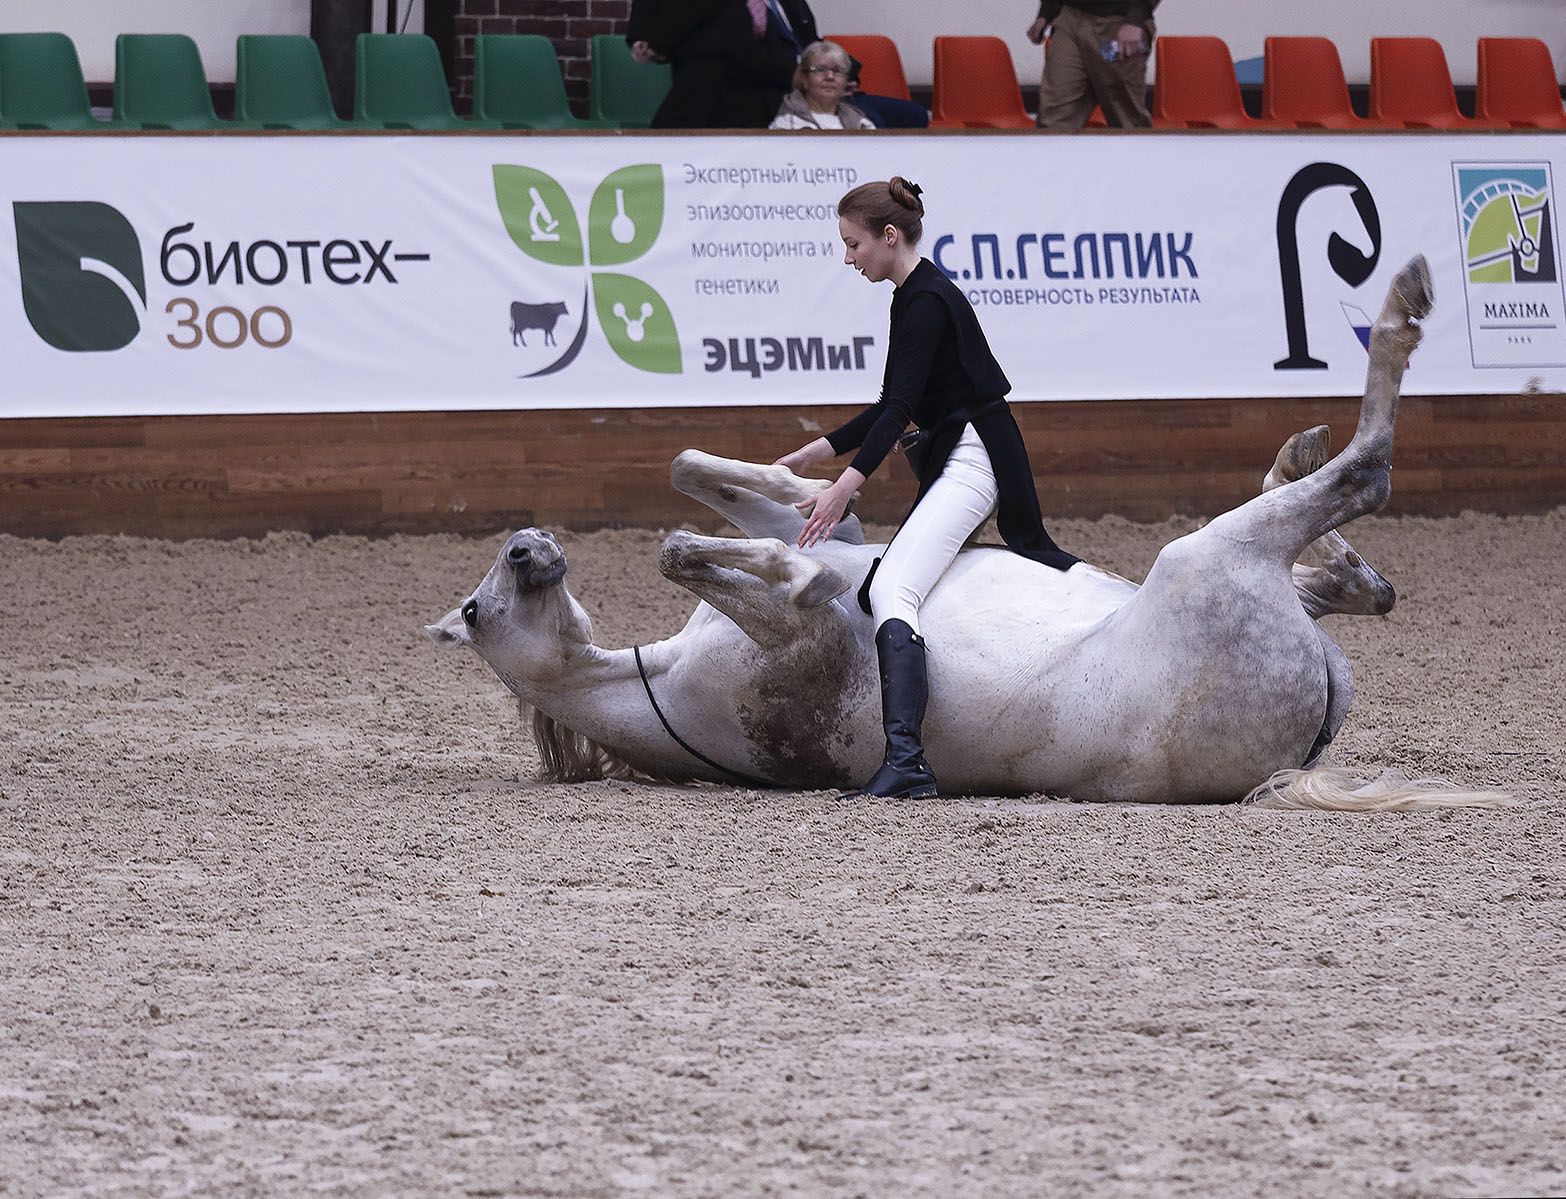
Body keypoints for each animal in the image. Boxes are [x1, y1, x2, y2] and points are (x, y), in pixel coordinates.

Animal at [429, 258, 1503, 813]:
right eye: (476, 611)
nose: (528, 546)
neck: (660, 681)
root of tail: (1298, 752)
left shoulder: (811, 527)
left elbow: (707, 476)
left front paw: (799, 507)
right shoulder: (802, 642)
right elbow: (715, 558)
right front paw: (804, 573)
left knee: (1353, 566)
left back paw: (1315, 489)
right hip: (1204, 564)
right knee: (1365, 473)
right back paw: (1399, 314)